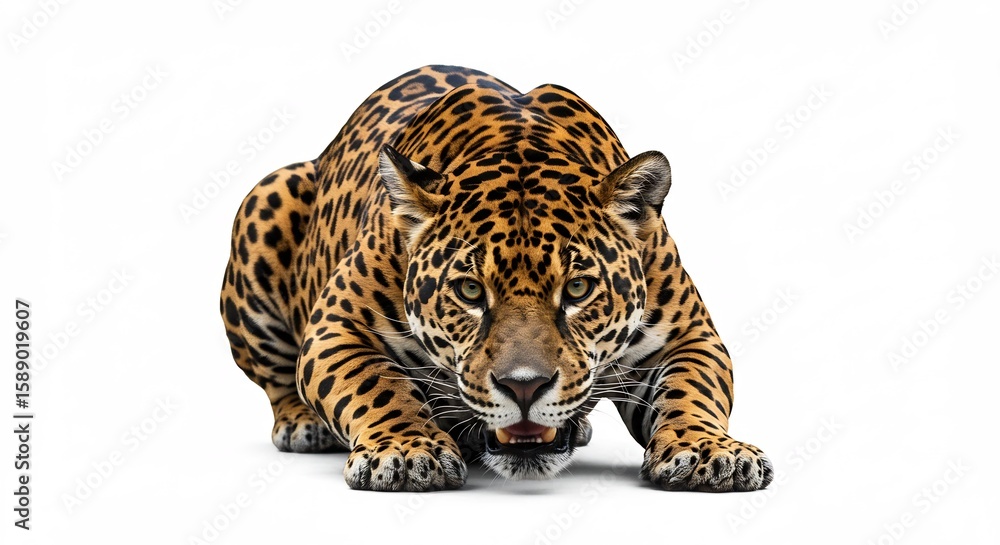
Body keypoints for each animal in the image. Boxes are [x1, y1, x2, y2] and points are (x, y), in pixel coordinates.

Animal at [220, 65, 773, 492]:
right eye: (469, 291)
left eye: (577, 289)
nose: (523, 389)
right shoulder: (335, 327)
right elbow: (378, 384)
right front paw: (407, 450)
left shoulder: (689, 335)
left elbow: (692, 389)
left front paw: (711, 451)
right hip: (267, 196)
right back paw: (304, 425)